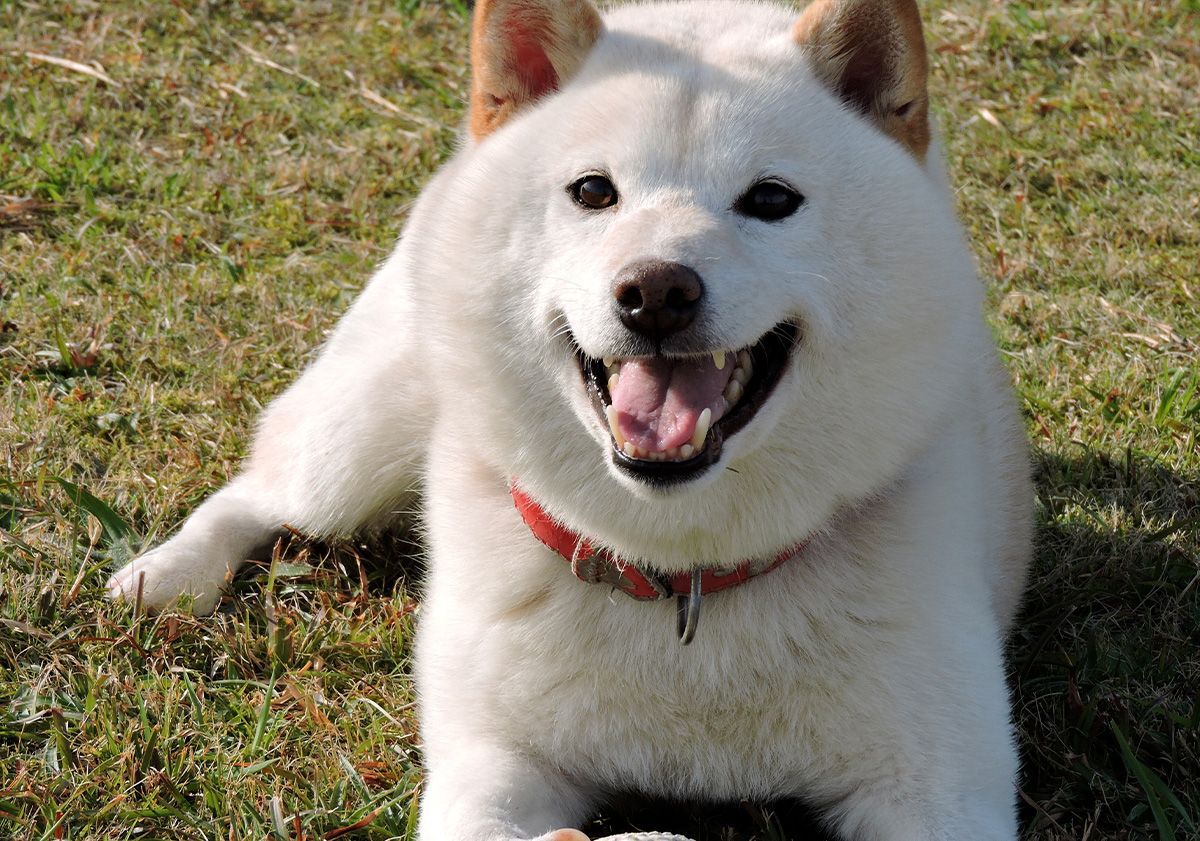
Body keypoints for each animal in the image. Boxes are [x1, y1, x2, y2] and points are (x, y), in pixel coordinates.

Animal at [110, 0, 1032, 835]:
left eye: (772, 199)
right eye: (594, 191)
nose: (656, 291)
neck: (682, 578)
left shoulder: (941, 790)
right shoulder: (495, 767)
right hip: (353, 449)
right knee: (259, 490)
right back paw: (168, 573)